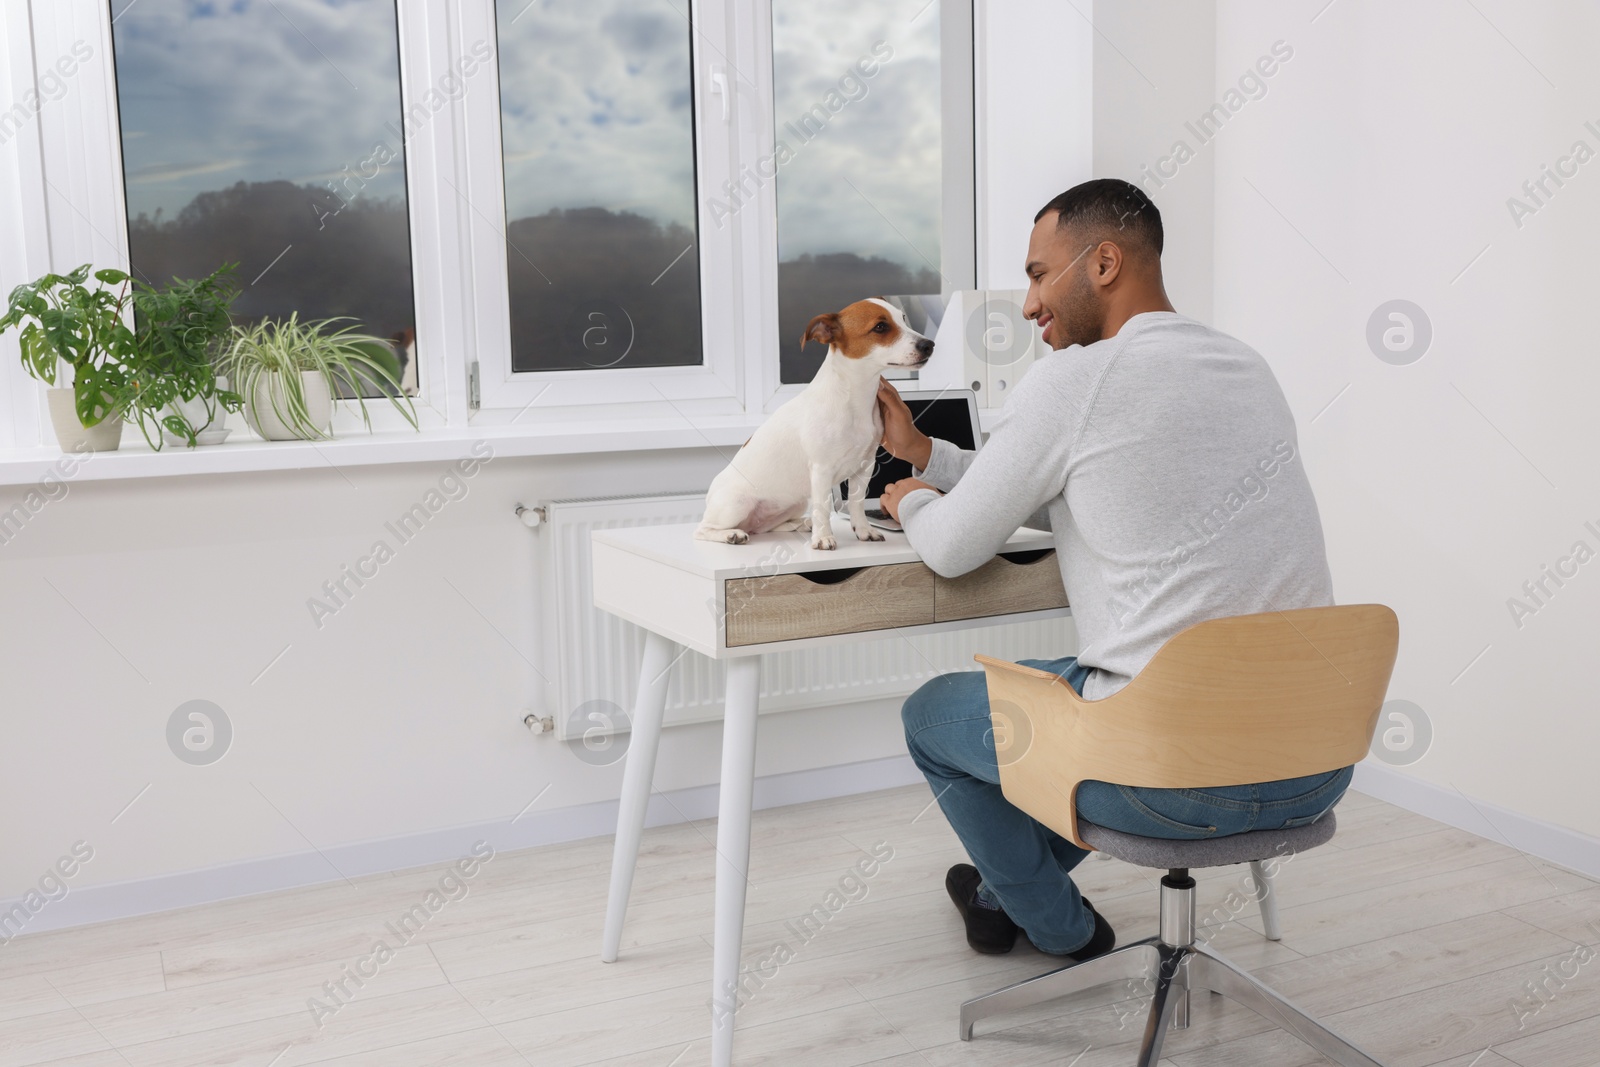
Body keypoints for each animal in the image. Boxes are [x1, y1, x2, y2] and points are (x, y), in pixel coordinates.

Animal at [694, 300, 934, 550]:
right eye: (880, 327)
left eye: (903, 319)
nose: (929, 345)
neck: (854, 398)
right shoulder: (821, 470)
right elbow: (823, 507)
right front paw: (823, 537)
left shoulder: (864, 467)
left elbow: (856, 503)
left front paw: (863, 530)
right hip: (737, 504)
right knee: (703, 529)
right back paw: (732, 534)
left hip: (795, 503)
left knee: (768, 526)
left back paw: (802, 523)